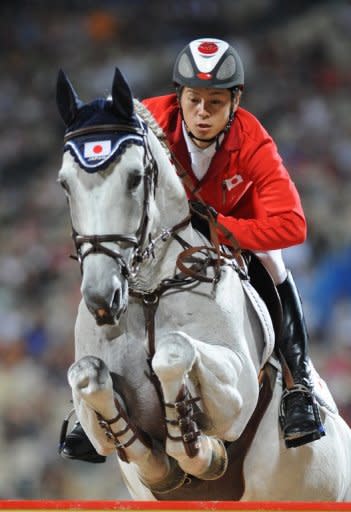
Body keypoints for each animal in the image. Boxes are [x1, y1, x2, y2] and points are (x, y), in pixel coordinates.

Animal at [55, 68, 351, 500]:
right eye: (65, 184)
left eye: (135, 178)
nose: (102, 298)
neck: (149, 291)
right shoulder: (97, 407)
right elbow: (87, 375)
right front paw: (164, 466)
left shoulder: (237, 389)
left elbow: (173, 352)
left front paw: (197, 445)